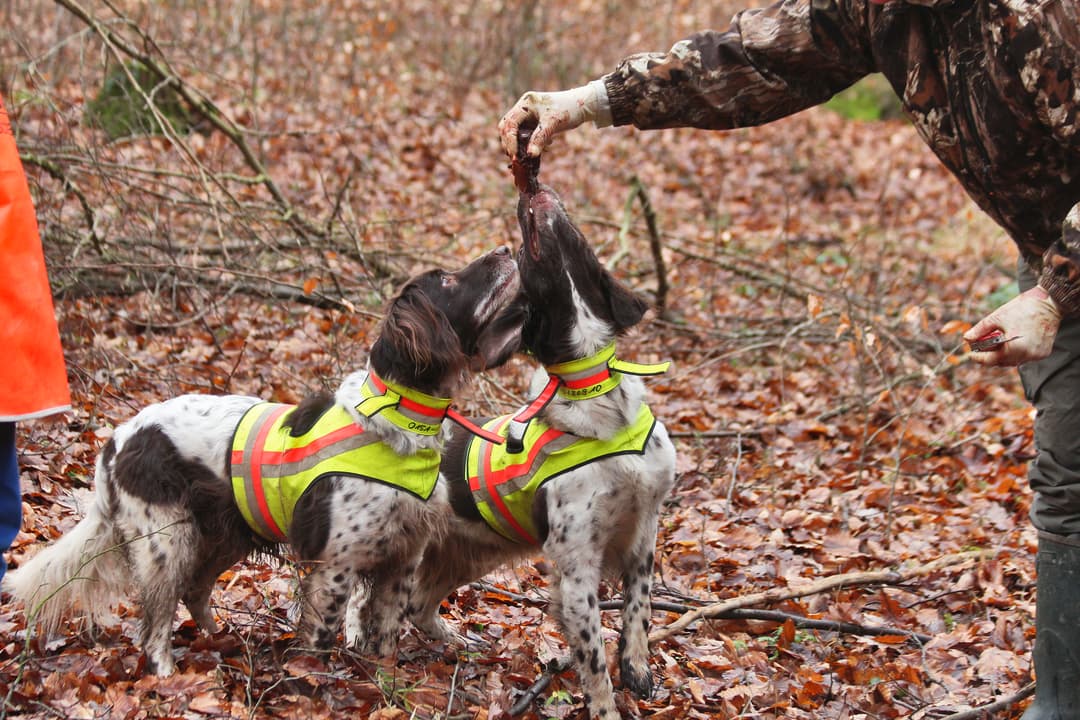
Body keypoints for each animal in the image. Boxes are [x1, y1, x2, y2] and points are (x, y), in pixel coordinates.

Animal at [0, 246, 522, 677]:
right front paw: (315, 684)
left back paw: (220, 641)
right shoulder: (336, 562)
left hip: (224, 535)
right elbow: (322, 634)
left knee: (195, 591)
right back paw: (167, 675)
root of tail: (118, 439)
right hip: (167, 542)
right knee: (154, 624)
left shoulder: (401, 560)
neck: (398, 417)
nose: (506, 248)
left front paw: (384, 682)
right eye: (447, 280)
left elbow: (386, 637)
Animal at [410, 187, 673, 720]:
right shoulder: (576, 565)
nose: (532, 190)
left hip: (467, 555)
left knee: (420, 604)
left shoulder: (644, 528)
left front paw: (637, 667)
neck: (601, 405)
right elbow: (593, 660)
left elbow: (639, 607)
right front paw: (606, 707)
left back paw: (457, 642)